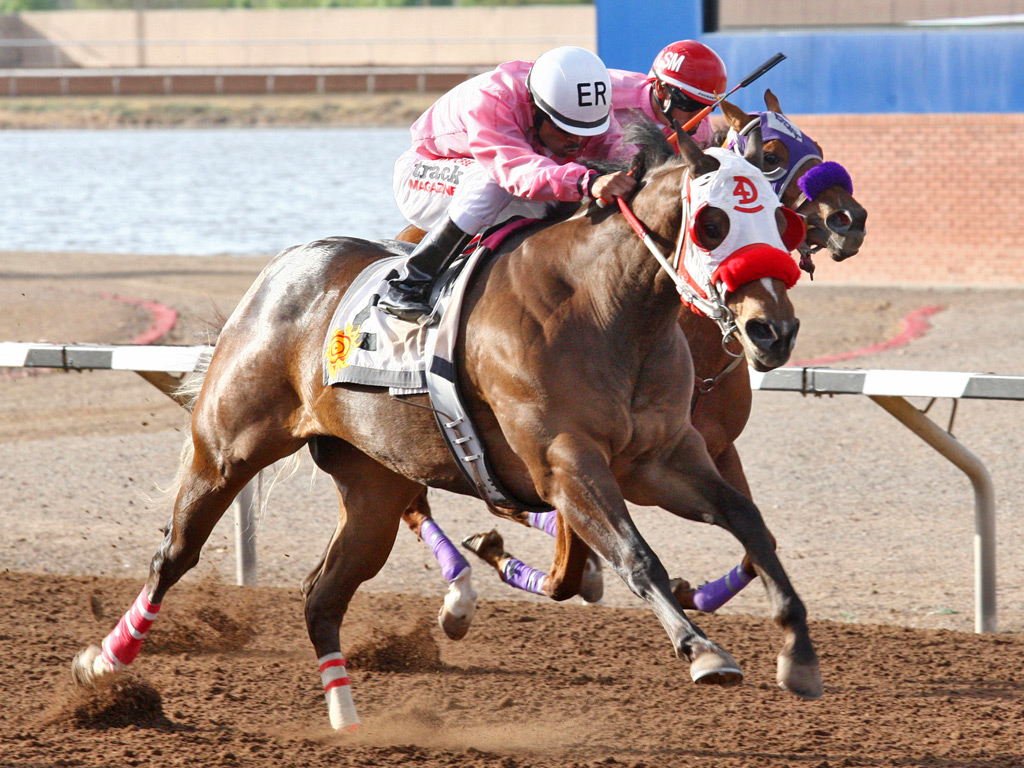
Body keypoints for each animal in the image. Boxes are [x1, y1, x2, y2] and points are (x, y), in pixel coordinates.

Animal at [72, 121, 823, 733]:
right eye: (712, 223)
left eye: (780, 218)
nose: (774, 330)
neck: (607, 313)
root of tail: (284, 267)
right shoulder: (566, 462)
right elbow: (637, 557)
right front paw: (703, 651)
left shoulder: (665, 458)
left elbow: (752, 526)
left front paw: (798, 654)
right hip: (225, 448)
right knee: (173, 556)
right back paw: (104, 665)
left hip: (373, 487)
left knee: (322, 596)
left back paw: (348, 720)